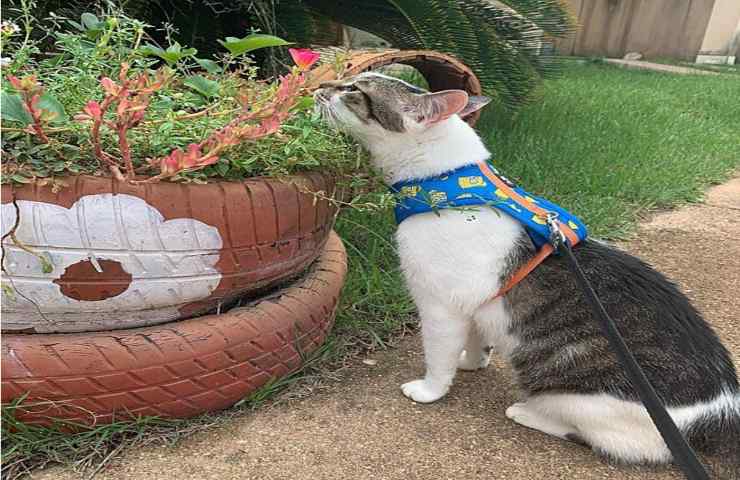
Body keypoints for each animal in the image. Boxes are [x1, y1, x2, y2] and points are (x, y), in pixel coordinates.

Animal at [314, 72, 740, 468]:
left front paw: (430, 389)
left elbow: (438, 356)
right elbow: (476, 338)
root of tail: (722, 413)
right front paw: (473, 361)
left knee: (606, 440)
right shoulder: (476, 303)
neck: (448, 187)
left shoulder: (440, 307)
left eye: (354, 89)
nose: (321, 86)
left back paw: (526, 411)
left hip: (583, 399)